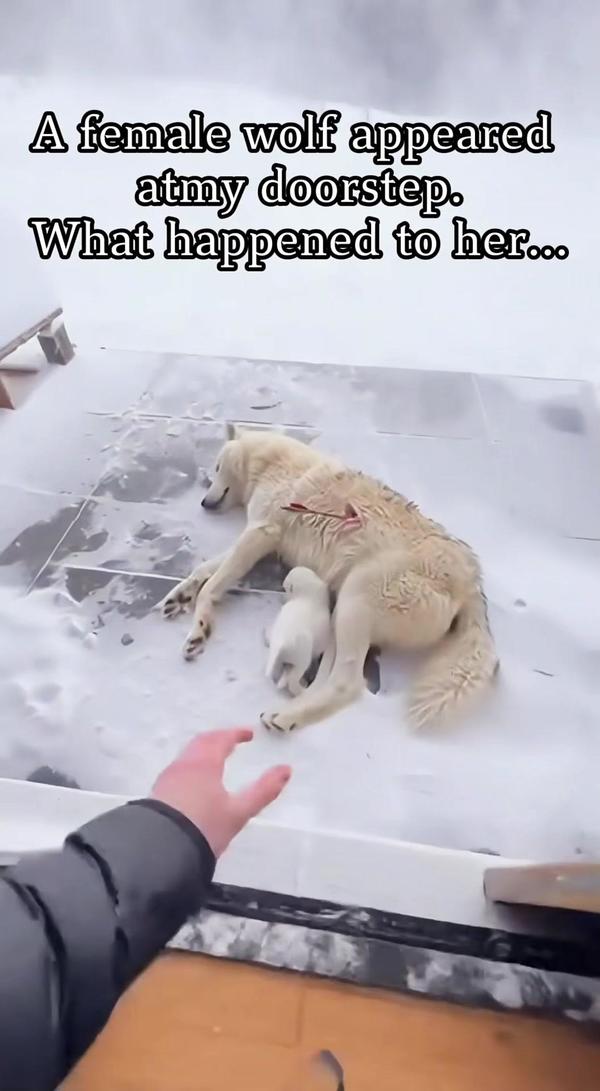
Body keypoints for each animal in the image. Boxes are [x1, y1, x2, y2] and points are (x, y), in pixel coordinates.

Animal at [160, 426, 498, 732]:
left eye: (217, 467)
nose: (205, 503)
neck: (270, 462)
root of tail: (472, 581)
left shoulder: (261, 533)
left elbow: (213, 585)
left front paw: (199, 629)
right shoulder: (258, 539)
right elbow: (205, 572)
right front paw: (180, 596)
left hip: (355, 599)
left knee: (347, 685)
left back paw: (285, 717)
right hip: (341, 615)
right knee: (325, 677)